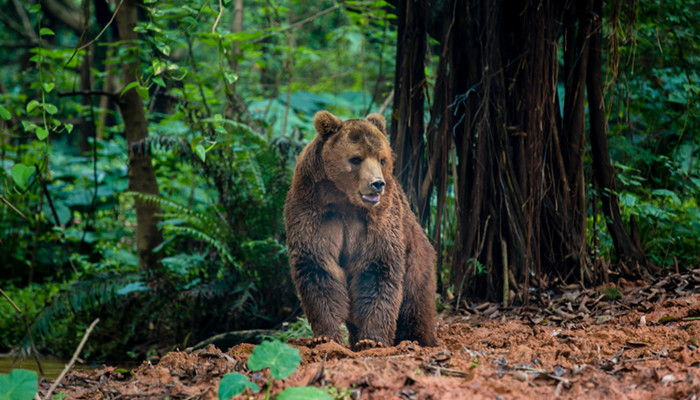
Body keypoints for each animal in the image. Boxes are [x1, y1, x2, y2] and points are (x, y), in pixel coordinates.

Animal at [282, 109, 434, 350]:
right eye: (356, 159)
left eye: (382, 159)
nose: (377, 184)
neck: (344, 199)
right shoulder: (313, 211)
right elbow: (318, 267)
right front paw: (325, 336)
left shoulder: (378, 218)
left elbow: (377, 268)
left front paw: (372, 340)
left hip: (416, 259)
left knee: (414, 304)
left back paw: (416, 339)